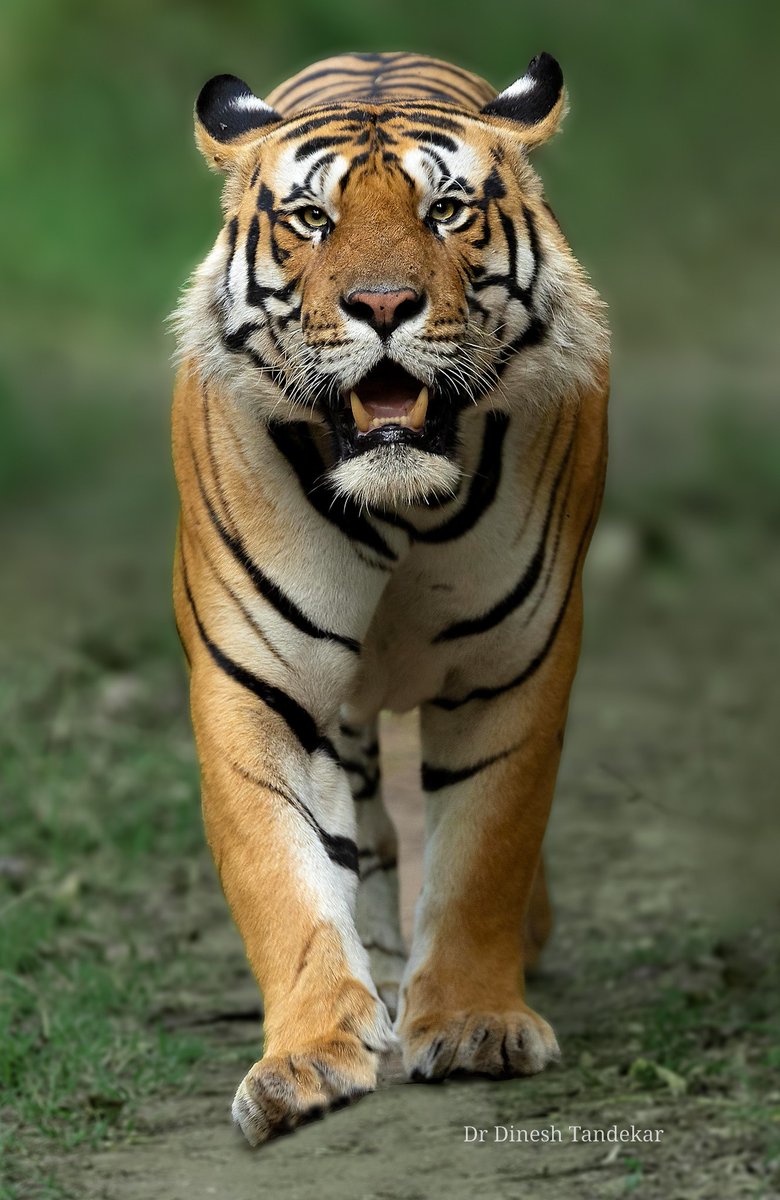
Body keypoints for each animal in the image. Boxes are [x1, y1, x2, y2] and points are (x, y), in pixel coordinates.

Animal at [172, 49, 609, 1146]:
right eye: (312, 219)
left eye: (445, 210)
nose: (380, 305)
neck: (399, 499)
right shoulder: (258, 688)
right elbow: (284, 879)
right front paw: (307, 1058)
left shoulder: (513, 673)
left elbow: (483, 854)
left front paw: (473, 1024)